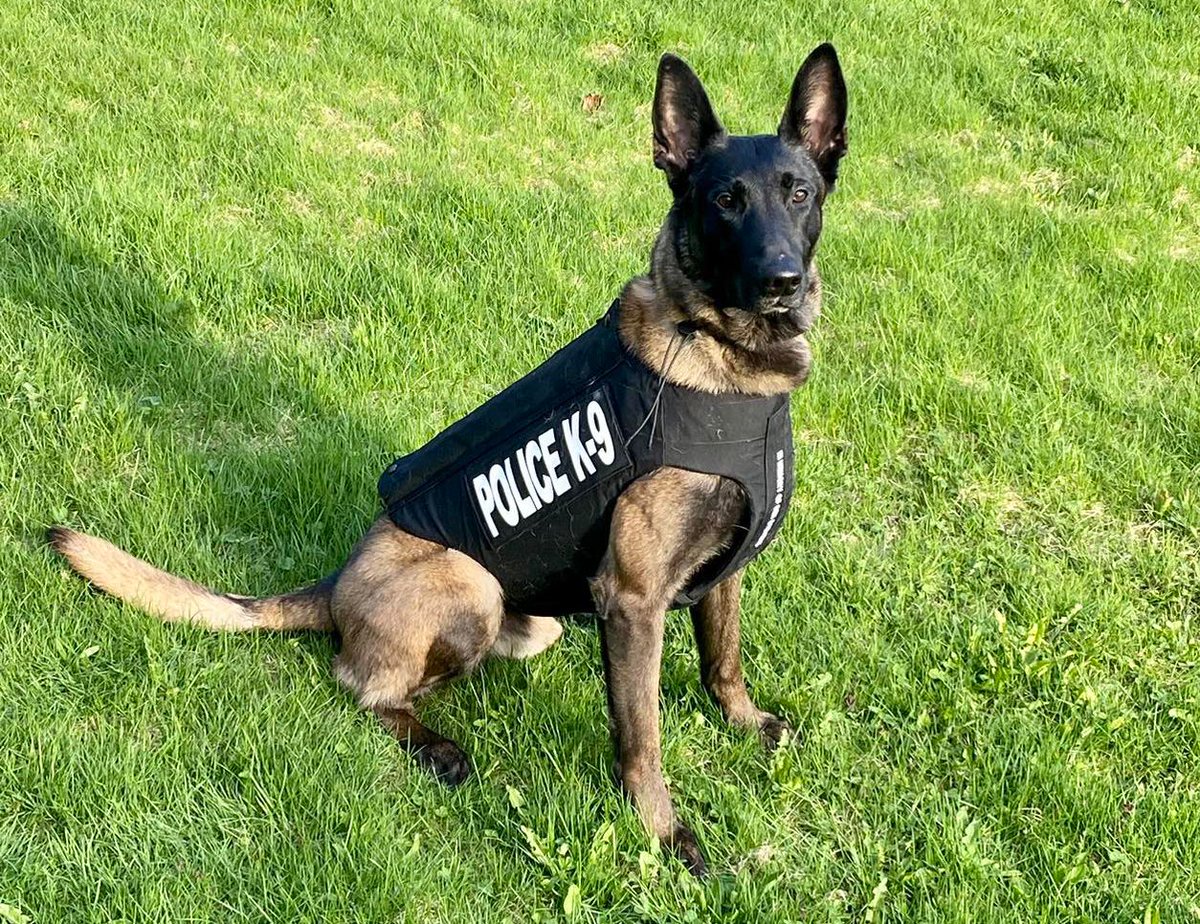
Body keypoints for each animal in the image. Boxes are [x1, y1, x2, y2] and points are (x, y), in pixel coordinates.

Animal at [51, 43, 849, 873]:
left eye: (798, 194)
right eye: (725, 201)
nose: (781, 281)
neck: (724, 357)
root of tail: (336, 580)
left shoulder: (722, 573)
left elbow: (723, 661)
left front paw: (745, 723)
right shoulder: (632, 600)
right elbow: (643, 740)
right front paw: (662, 834)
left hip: (534, 622)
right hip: (473, 589)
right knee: (359, 684)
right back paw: (435, 747)